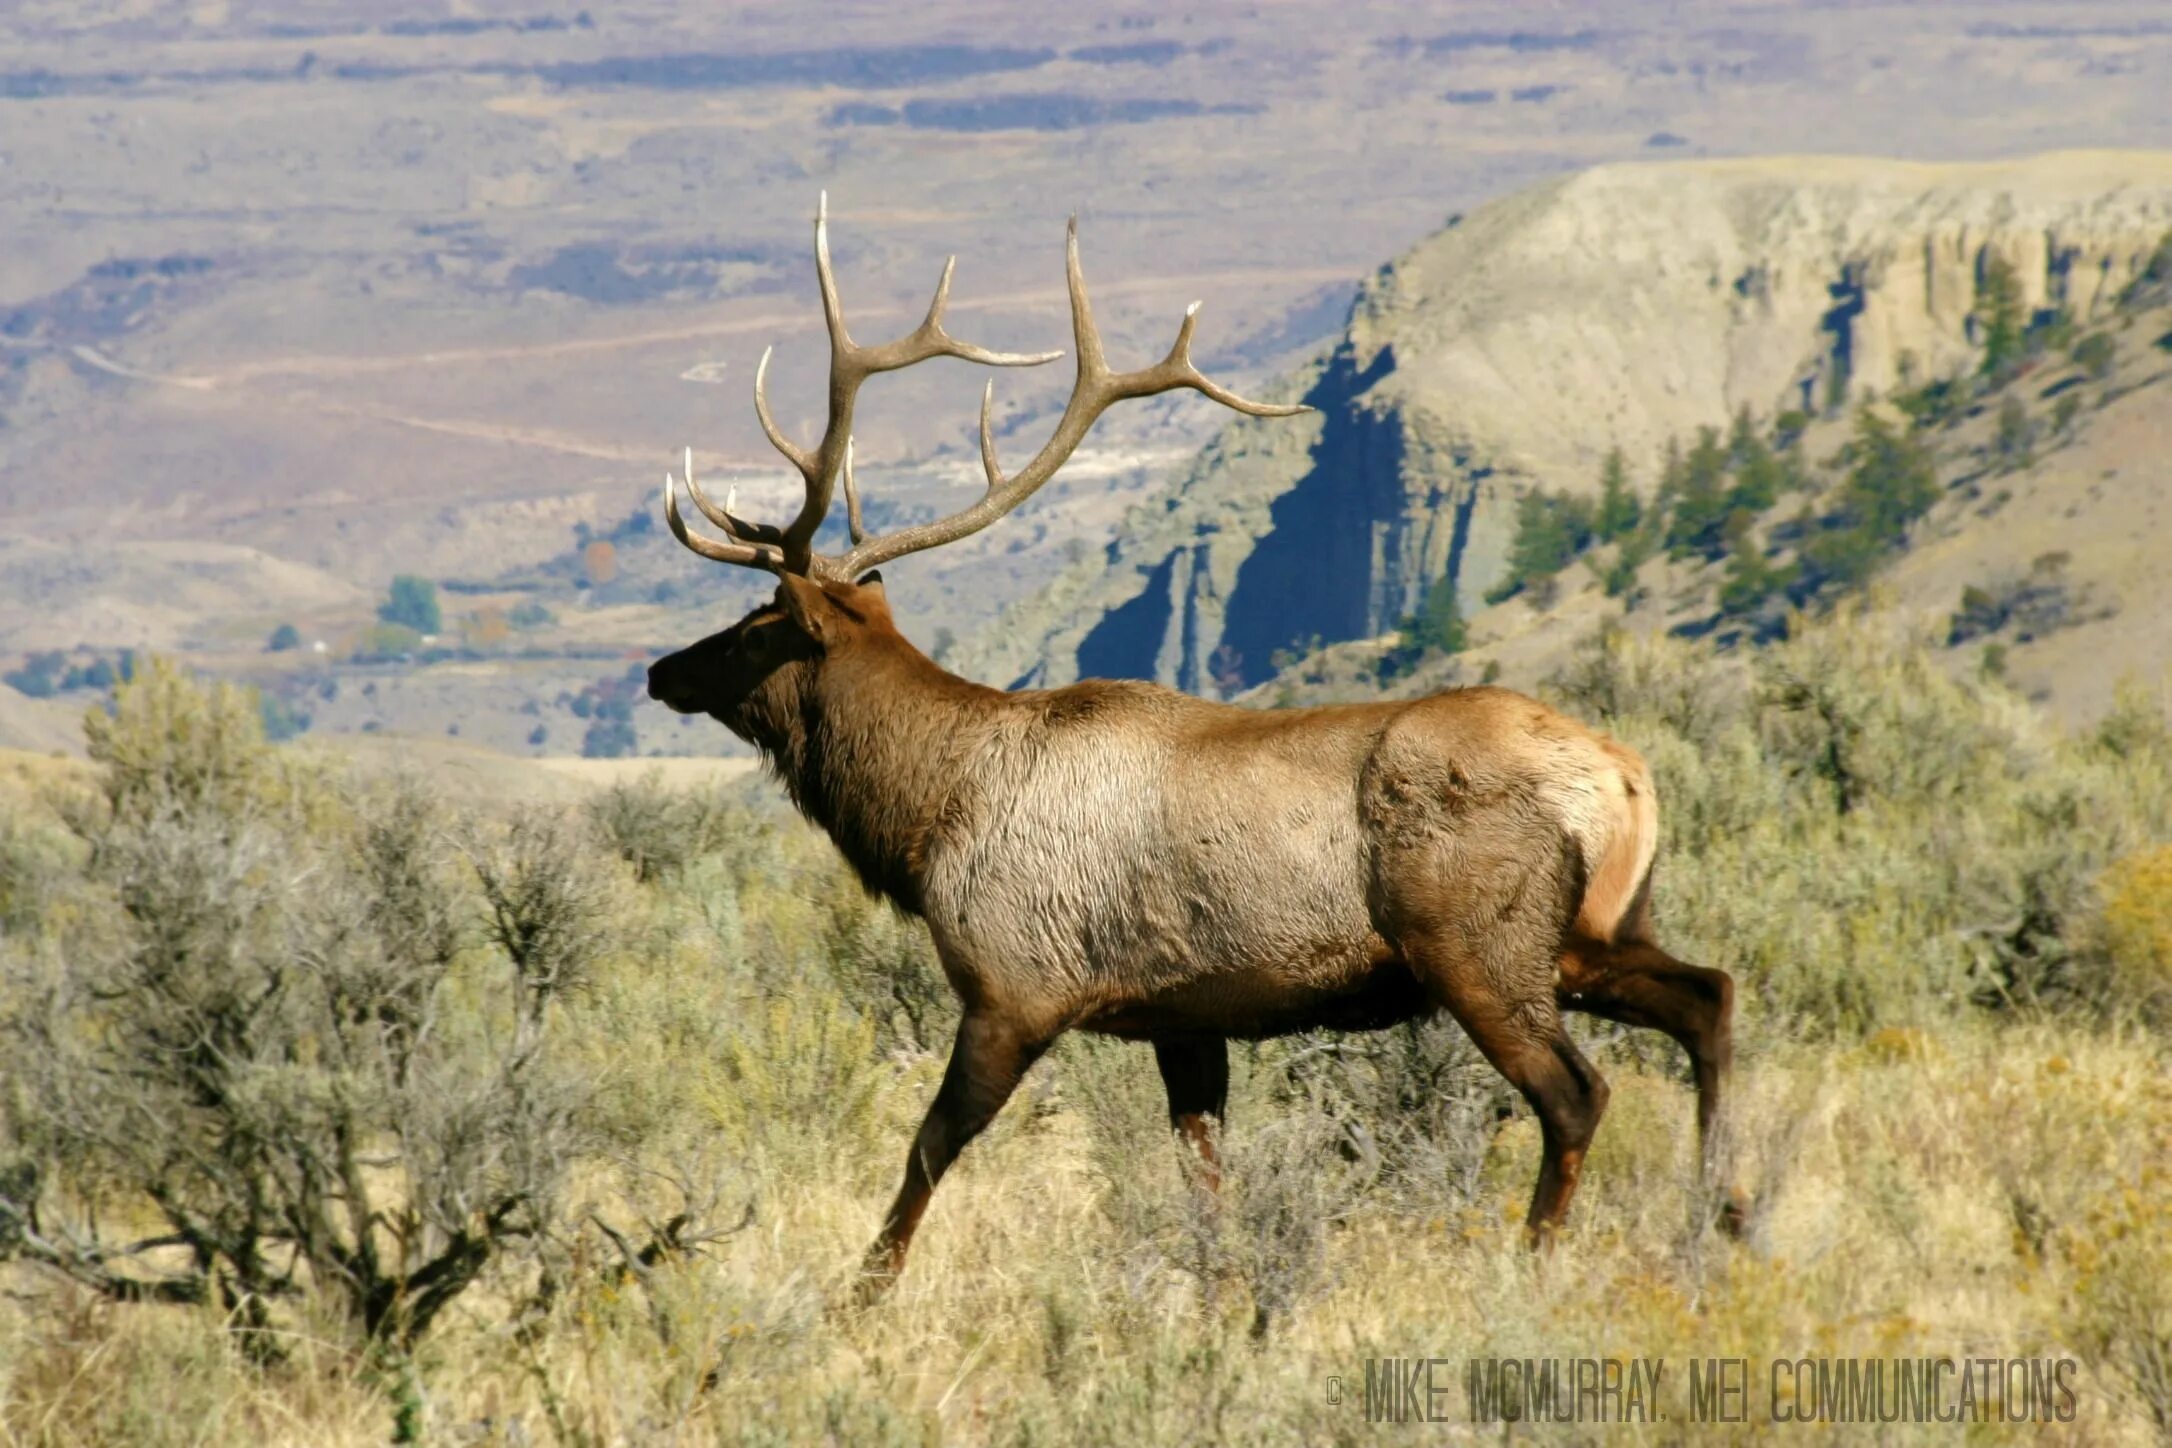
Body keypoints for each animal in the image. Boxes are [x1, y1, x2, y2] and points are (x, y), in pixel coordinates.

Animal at [634, 195, 1737, 1302]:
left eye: (757, 623)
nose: (658, 669)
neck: (926, 818)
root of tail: (1625, 778)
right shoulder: (1185, 1015)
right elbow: (1203, 1174)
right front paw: (1220, 1299)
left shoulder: (1013, 985)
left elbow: (929, 1146)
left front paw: (861, 1294)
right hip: (1594, 930)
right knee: (1708, 996)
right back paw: (1723, 1213)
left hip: (1476, 939)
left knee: (1575, 1090)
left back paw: (1537, 1263)